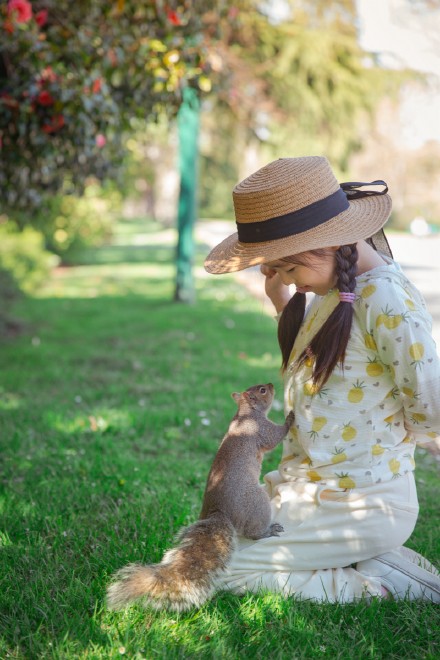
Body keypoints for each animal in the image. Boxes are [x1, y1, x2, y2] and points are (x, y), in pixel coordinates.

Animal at [105, 382, 296, 612]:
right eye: (262, 391)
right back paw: (268, 530)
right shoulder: (261, 430)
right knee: (253, 533)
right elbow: (276, 435)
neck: (245, 414)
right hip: (256, 502)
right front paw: (290, 418)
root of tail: (219, 512)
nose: (271, 384)